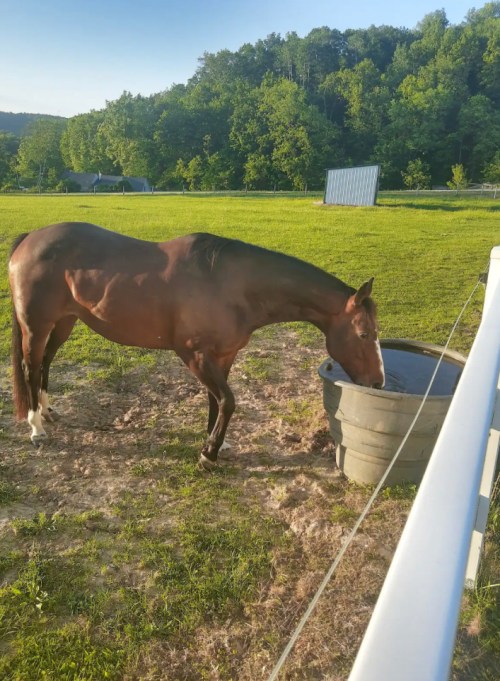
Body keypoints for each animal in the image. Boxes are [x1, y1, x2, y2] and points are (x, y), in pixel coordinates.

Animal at [8, 222, 385, 468]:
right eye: (365, 334)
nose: (379, 383)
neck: (232, 285)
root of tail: (30, 239)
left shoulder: (224, 355)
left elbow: (216, 401)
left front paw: (216, 442)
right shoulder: (194, 355)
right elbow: (228, 400)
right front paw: (209, 454)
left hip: (64, 322)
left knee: (46, 362)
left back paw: (47, 411)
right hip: (36, 325)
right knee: (31, 365)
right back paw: (36, 427)